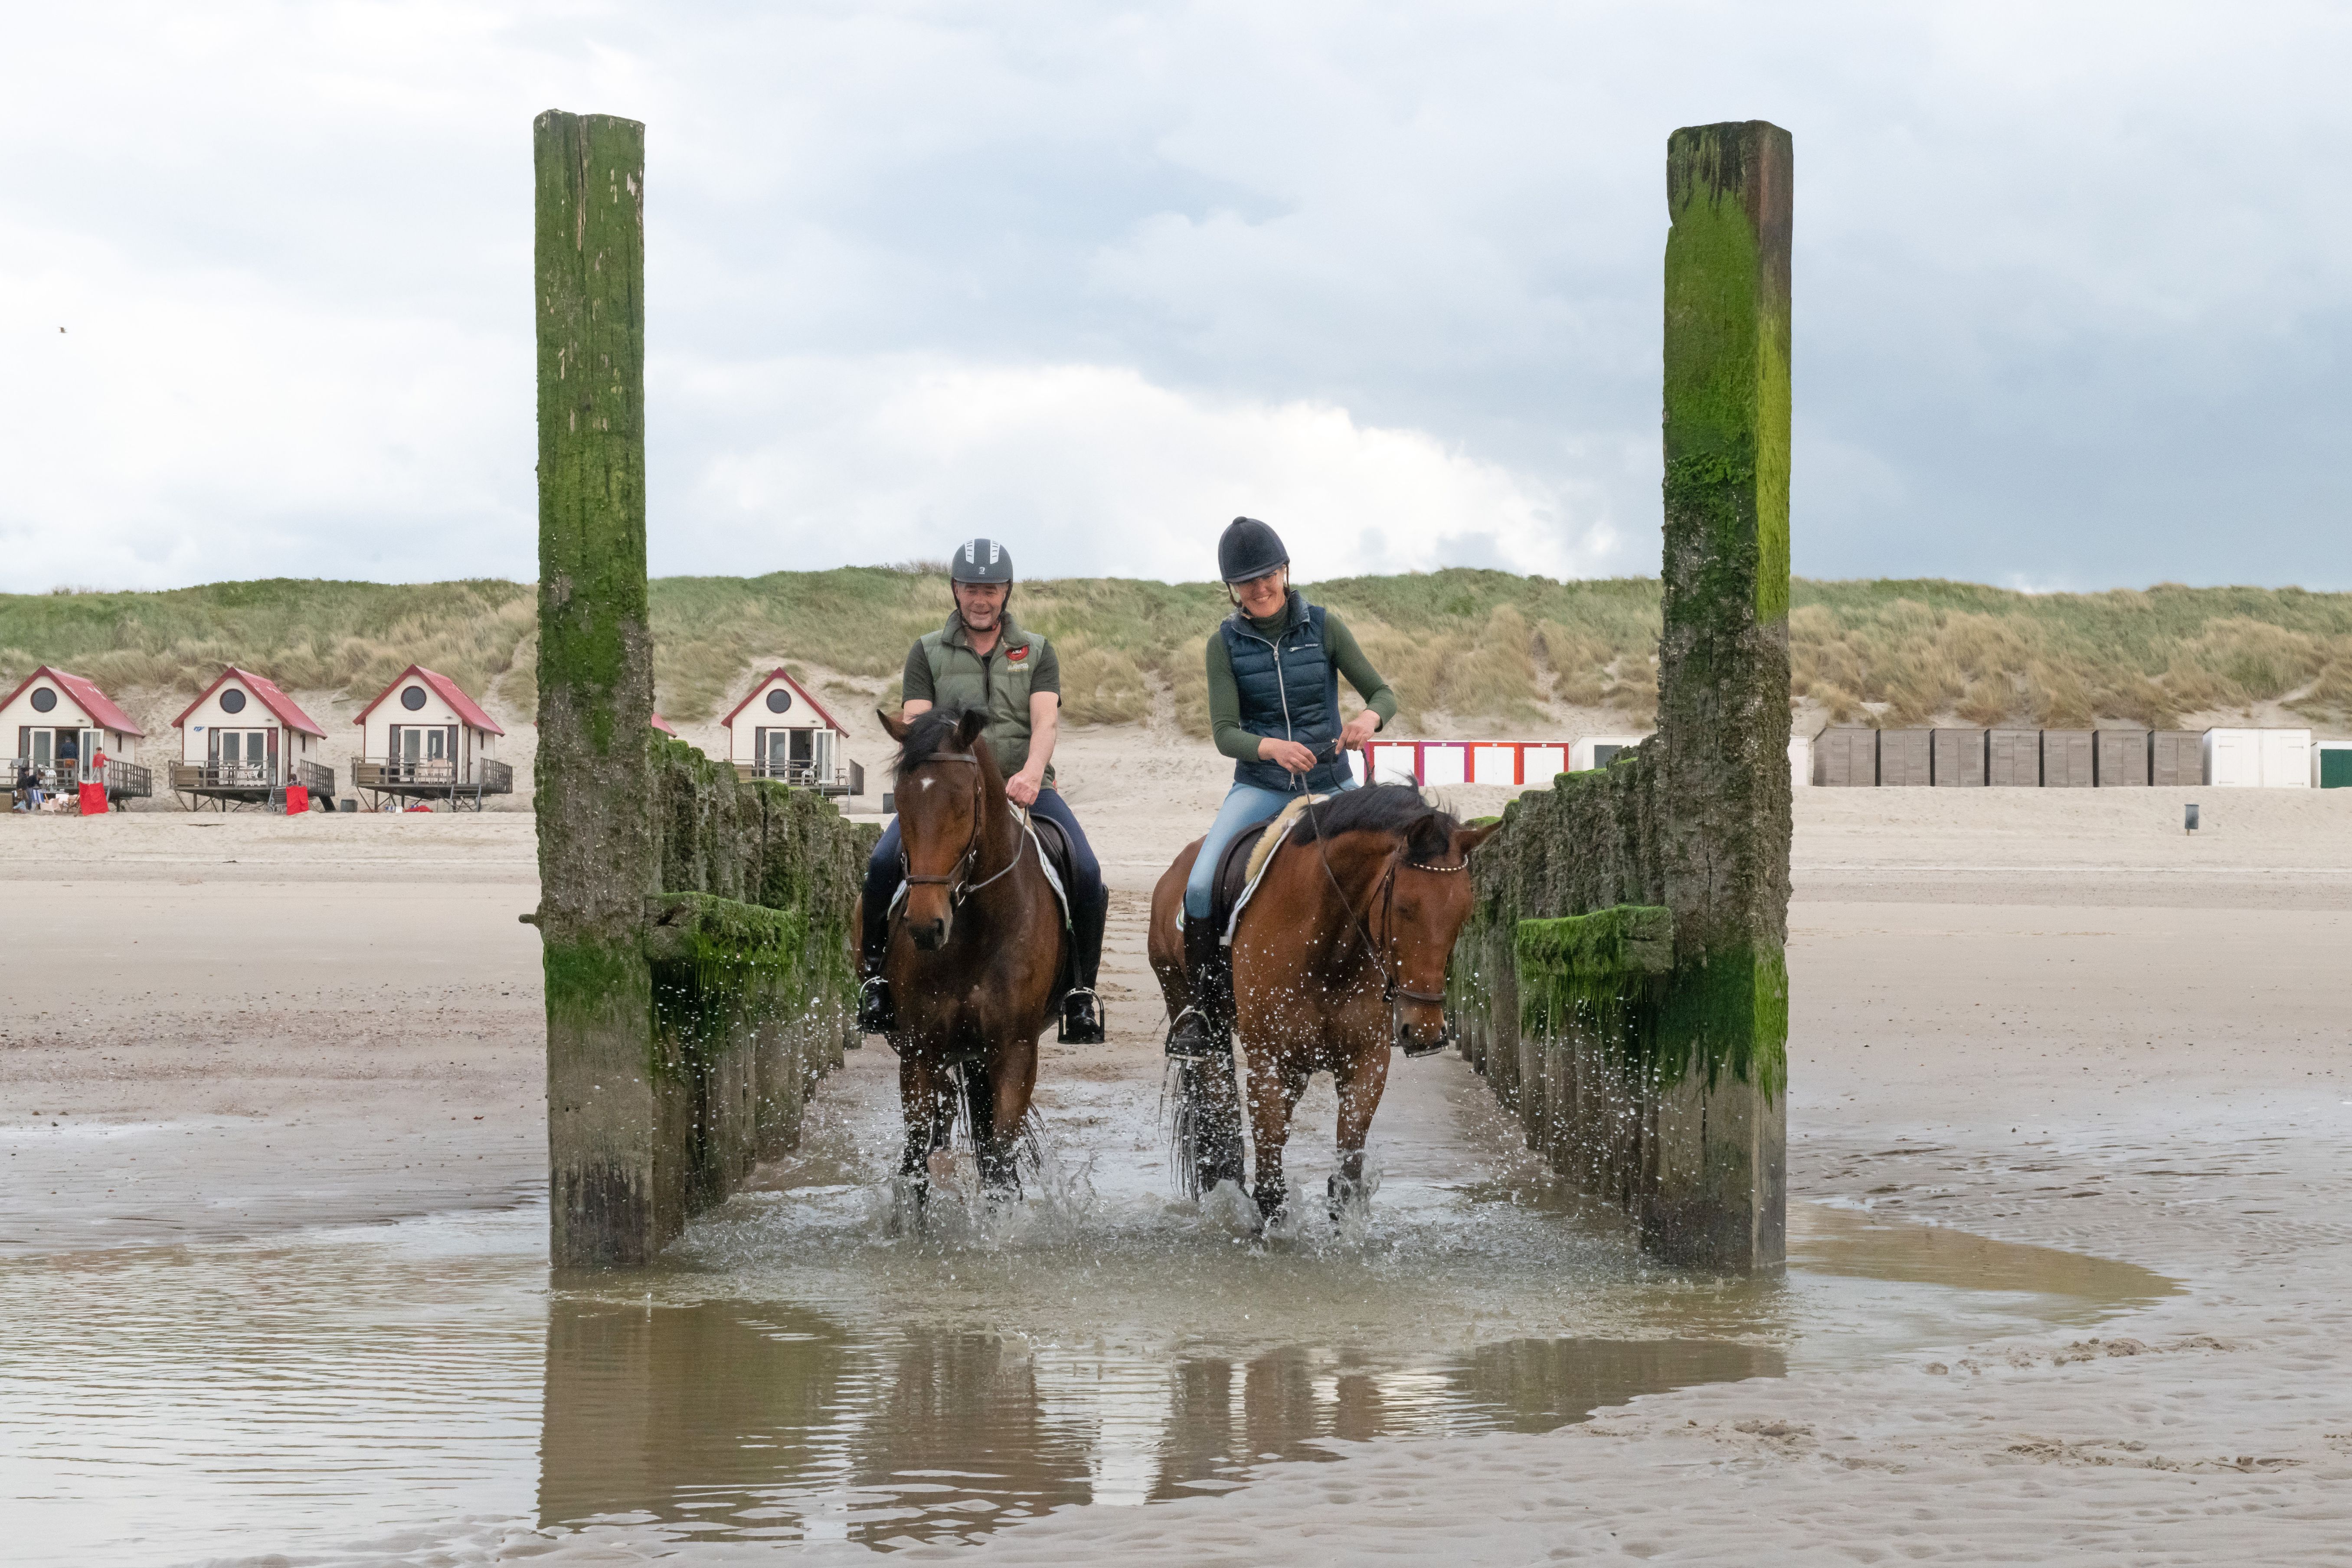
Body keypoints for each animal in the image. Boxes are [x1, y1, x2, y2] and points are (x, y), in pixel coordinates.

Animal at [875, 705, 1068, 1213]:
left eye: (962, 804)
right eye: (899, 803)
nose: (925, 926)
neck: (975, 931)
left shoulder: (1014, 1051)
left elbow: (1000, 1162)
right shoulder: (918, 1051)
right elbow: (916, 1160)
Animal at [1148, 785, 1496, 1222]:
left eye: (1463, 913)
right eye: (1404, 907)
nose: (1425, 1032)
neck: (1329, 946)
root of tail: (1175, 871)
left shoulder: (1365, 1063)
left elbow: (1346, 1178)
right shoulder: (1269, 1066)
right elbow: (1270, 1186)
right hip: (1193, 1014)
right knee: (1219, 1107)